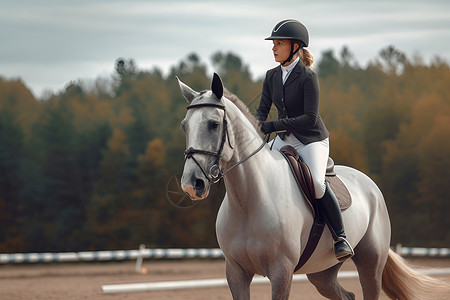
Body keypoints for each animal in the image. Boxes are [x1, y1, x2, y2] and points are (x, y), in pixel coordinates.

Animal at [178, 73, 448, 300]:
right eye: (184, 125)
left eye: (213, 124)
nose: (192, 184)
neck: (248, 201)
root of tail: (370, 185)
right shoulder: (236, 273)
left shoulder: (281, 271)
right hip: (322, 272)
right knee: (345, 295)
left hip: (371, 263)